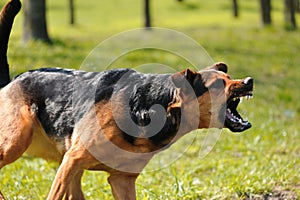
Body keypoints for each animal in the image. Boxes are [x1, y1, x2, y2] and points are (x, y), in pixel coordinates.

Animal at [0, 0, 253, 199]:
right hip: (17, 141)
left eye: (229, 77)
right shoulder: (73, 160)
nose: (249, 81)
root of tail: (12, 81)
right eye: (218, 84)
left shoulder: (121, 180)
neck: (150, 108)